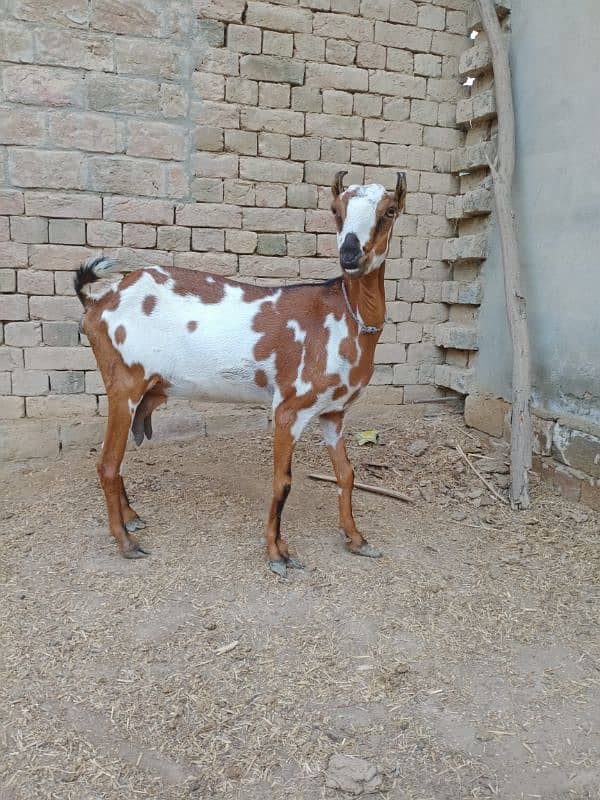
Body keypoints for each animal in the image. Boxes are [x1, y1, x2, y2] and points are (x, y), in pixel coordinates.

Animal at [76, 173, 408, 576]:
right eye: (335, 210)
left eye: (390, 211)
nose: (349, 255)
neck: (346, 315)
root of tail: (98, 302)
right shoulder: (289, 408)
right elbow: (282, 482)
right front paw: (277, 553)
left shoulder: (333, 412)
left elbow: (347, 474)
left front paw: (357, 539)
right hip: (124, 382)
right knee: (108, 463)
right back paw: (125, 541)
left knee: (116, 459)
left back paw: (132, 518)